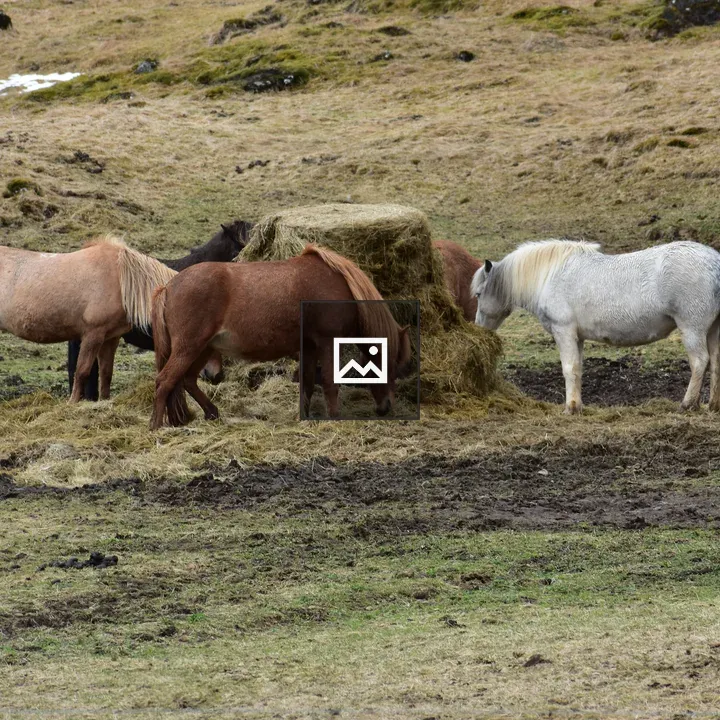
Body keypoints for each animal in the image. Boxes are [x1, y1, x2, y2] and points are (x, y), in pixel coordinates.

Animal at [0, 236, 177, 401]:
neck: (119, 280)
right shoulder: (92, 335)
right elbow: (82, 371)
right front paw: (72, 402)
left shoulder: (111, 338)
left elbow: (106, 373)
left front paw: (104, 400)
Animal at [150, 244, 412, 429]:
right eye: (390, 364)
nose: (386, 407)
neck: (340, 285)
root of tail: (169, 286)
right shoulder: (328, 343)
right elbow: (329, 381)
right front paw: (335, 417)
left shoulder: (309, 346)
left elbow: (308, 382)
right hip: (189, 348)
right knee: (165, 381)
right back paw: (156, 427)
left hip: (203, 349)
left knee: (187, 381)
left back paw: (211, 412)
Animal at [471, 239, 720, 414]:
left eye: (478, 294)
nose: (479, 326)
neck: (551, 275)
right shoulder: (577, 338)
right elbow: (578, 369)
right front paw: (577, 405)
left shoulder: (564, 333)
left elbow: (569, 368)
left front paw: (570, 408)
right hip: (712, 330)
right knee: (715, 363)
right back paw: (713, 405)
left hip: (692, 329)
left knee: (700, 362)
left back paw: (688, 404)